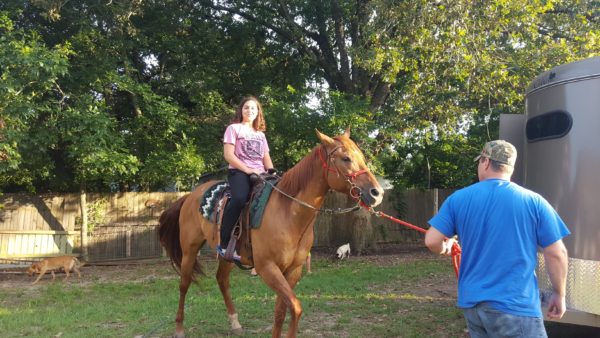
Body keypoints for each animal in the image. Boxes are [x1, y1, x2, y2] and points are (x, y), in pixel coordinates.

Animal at [158, 129, 384, 336]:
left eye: (362, 157)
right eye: (346, 158)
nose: (377, 193)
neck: (287, 212)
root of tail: (190, 196)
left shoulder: (292, 271)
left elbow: (281, 312)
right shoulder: (267, 268)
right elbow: (295, 308)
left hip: (227, 255)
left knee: (222, 280)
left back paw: (235, 322)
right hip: (189, 250)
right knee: (184, 284)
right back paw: (179, 328)